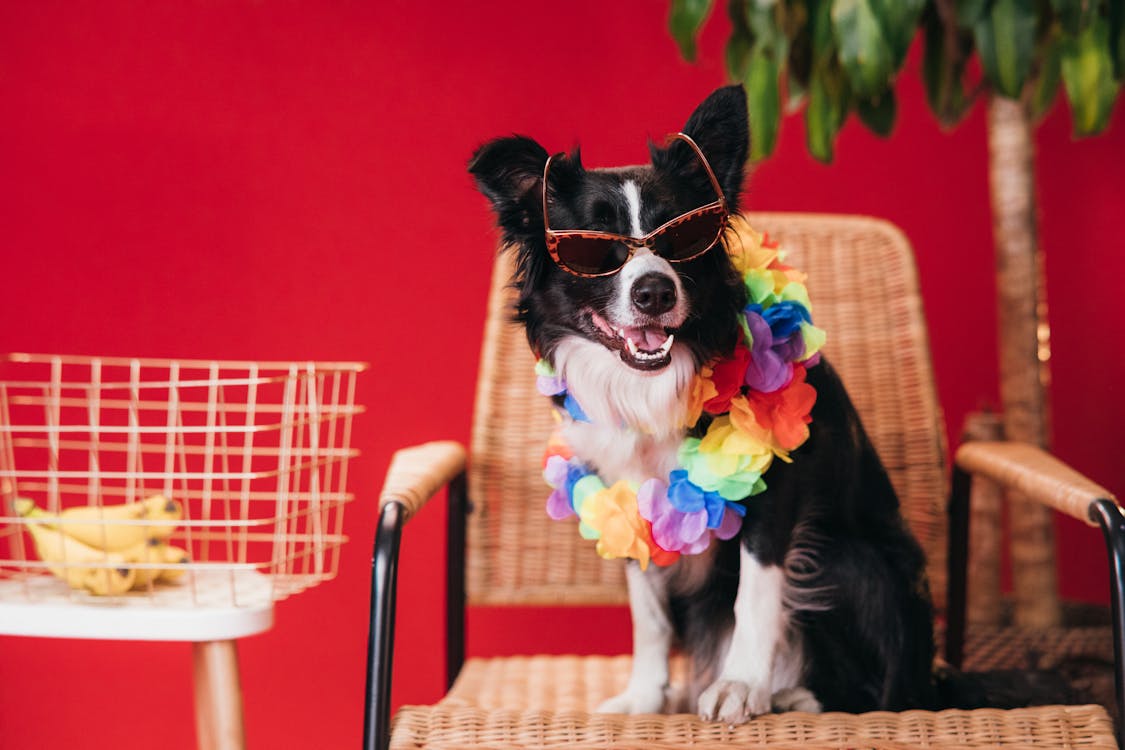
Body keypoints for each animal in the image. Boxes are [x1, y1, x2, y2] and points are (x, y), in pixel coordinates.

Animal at [468, 86, 940, 719]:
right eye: (596, 249)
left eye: (683, 239)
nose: (655, 291)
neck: (652, 385)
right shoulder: (625, 497)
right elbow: (647, 612)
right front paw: (645, 696)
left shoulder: (776, 485)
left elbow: (756, 594)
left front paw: (740, 685)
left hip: (852, 562)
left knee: (873, 694)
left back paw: (792, 694)